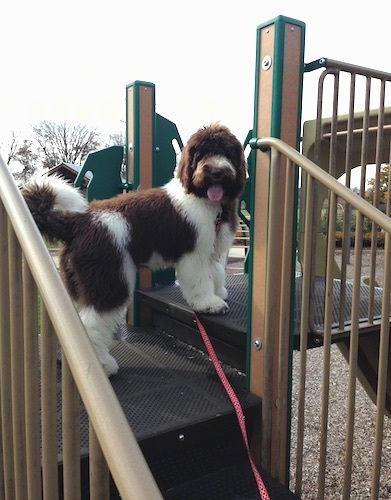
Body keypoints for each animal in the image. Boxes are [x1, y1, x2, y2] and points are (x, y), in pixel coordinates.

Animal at [21, 124, 247, 376]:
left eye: (226, 153)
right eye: (201, 154)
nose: (216, 172)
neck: (206, 200)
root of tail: (79, 221)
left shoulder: (213, 250)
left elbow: (216, 273)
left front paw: (219, 293)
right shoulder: (194, 254)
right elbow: (200, 281)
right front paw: (209, 303)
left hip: (80, 280)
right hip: (108, 279)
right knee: (91, 324)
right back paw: (103, 366)